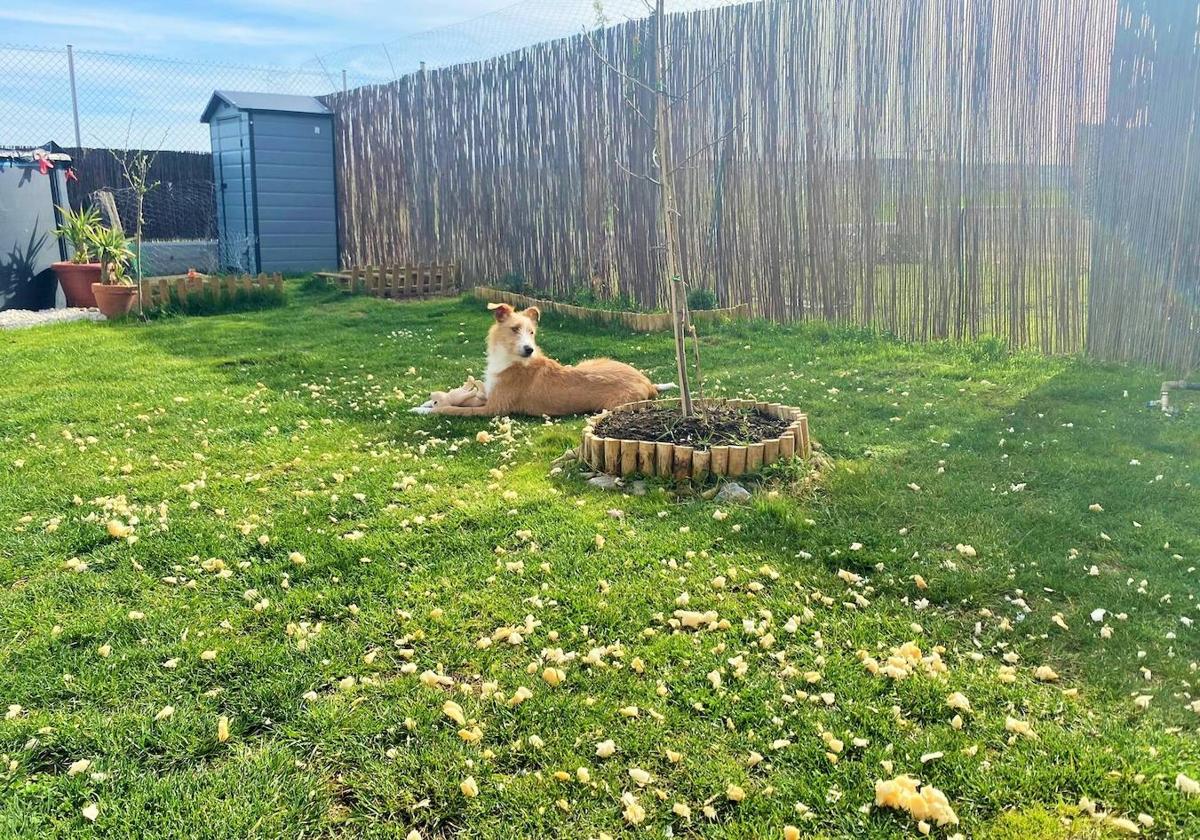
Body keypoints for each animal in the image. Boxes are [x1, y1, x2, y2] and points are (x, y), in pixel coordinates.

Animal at [412, 303, 672, 417]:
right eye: (515, 329)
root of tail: (649, 383)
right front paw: (425, 403)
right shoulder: (489, 396)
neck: (510, 359)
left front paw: (424, 409)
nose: (529, 349)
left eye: (532, 332)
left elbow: (450, 408)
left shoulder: (494, 409)